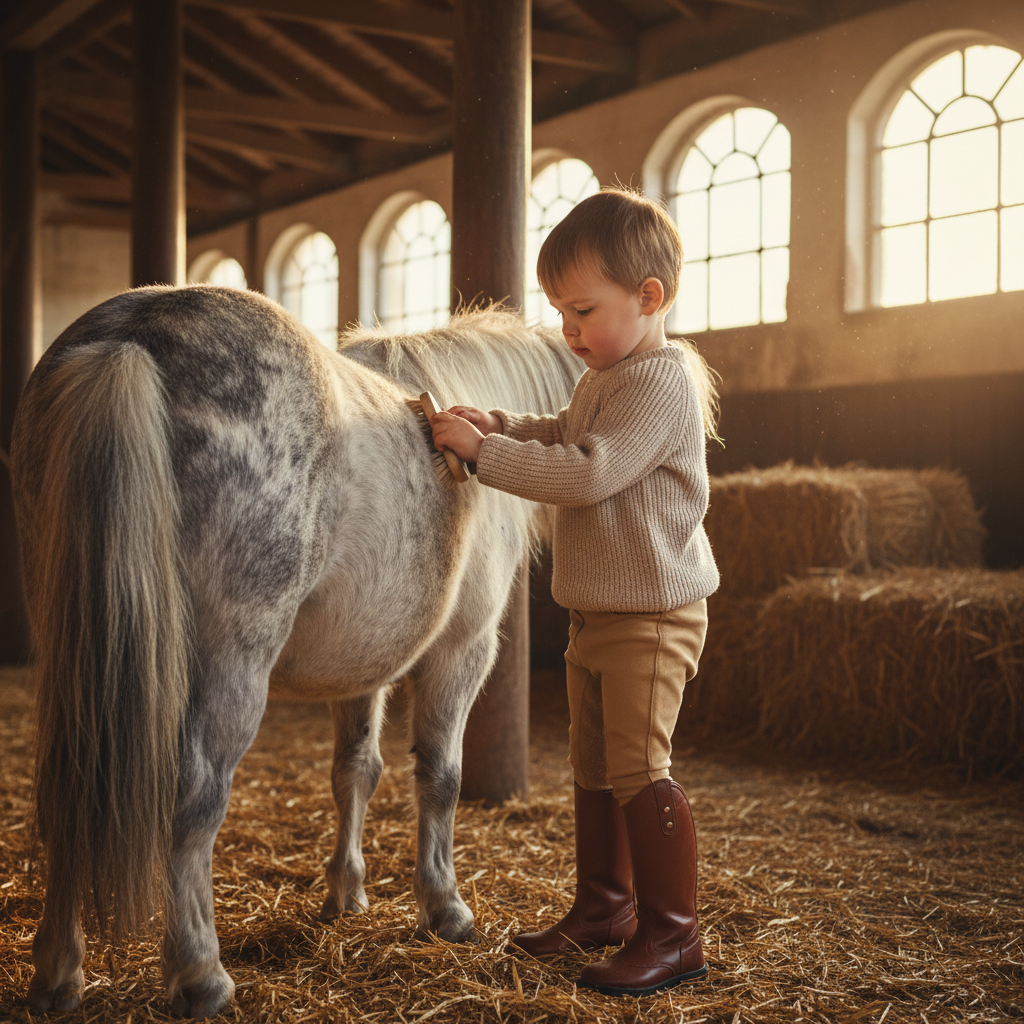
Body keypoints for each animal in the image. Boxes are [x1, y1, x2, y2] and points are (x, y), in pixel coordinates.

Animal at [10, 284, 582, 1018]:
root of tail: (130, 340)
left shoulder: (361, 669)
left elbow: (355, 772)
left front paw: (346, 892)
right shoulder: (464, 650)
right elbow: (440, 776)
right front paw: (444, 907)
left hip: (77, 658)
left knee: (72, 789)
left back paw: (57, 973)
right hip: (231, 667)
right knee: (193, 801)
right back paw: (200, 975)